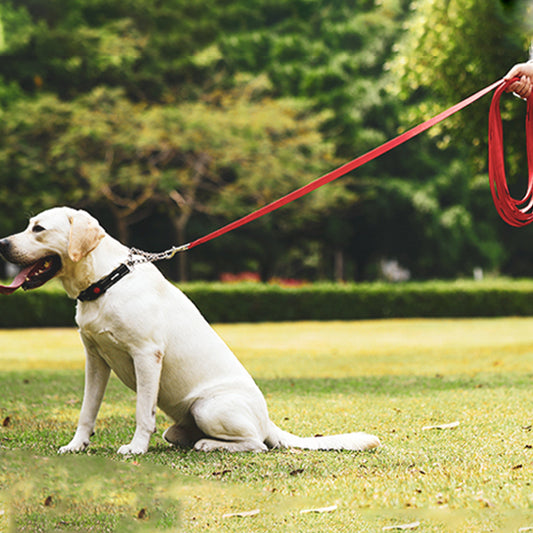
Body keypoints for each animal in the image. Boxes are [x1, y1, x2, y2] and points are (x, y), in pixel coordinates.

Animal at [1, 207, 382, 454]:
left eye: (38, 229)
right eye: (28, 225)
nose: (2, 243)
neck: (105, 281)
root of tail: (268, 421)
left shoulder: (146, 355)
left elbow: (143, 411)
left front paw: (135, 448)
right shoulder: (95, 359)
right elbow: (86, 411)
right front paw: (76, 445)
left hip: (207, 407)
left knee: (256, 444)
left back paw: (209, 444)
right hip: (180, 423)